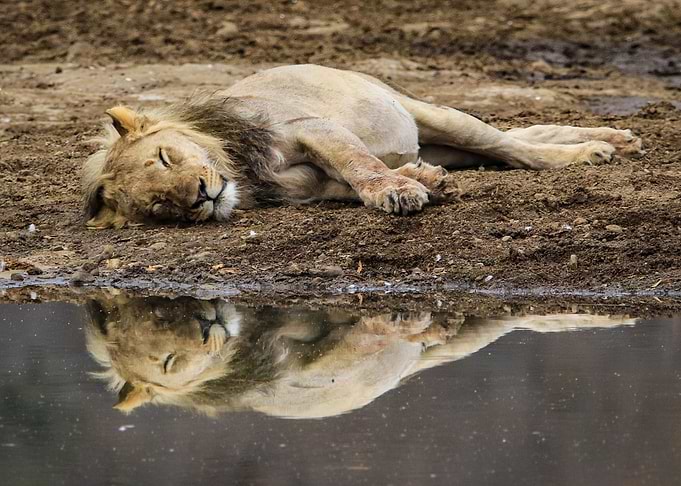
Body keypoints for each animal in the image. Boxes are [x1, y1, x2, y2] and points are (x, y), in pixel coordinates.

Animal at [82, 64, 643, 228]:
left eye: (165, 157)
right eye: (163, 207)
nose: (202, 194)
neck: (243, 171)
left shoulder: (309, 126)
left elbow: (357, 163)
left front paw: (397, 191)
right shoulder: (306, 188)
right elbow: (350, 180)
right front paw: (421, 180)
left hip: (428, 113)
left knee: (512, 146)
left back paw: (595, 150)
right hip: (445, 141)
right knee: (513, 141)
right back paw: (615, 139)